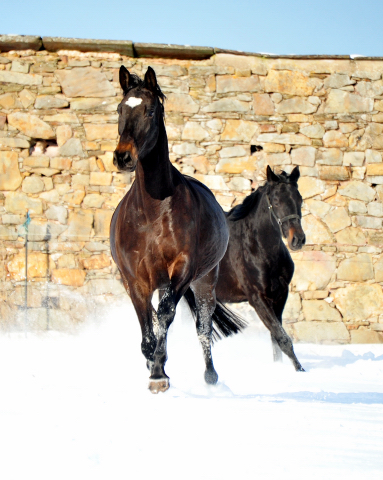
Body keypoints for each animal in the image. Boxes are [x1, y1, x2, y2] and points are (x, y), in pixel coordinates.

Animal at [109, 65, 244, 392]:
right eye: (120, 108)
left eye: (150, 110)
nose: (122, 157)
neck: (152, 210)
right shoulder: (134, 279)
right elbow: (148, 326)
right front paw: (153, 364)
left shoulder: (182, 270)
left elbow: (166, 314)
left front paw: (159, 373)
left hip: (205, 282)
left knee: (203, 328)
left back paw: (211, 377)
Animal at [184, 167, 308, 374]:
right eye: (276, 201)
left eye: (299, 199)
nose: (297, 239)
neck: (259, 247)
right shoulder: (257, 299)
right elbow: (283, 338)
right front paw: (301, 371)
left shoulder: (280, 296)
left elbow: (276, 339)